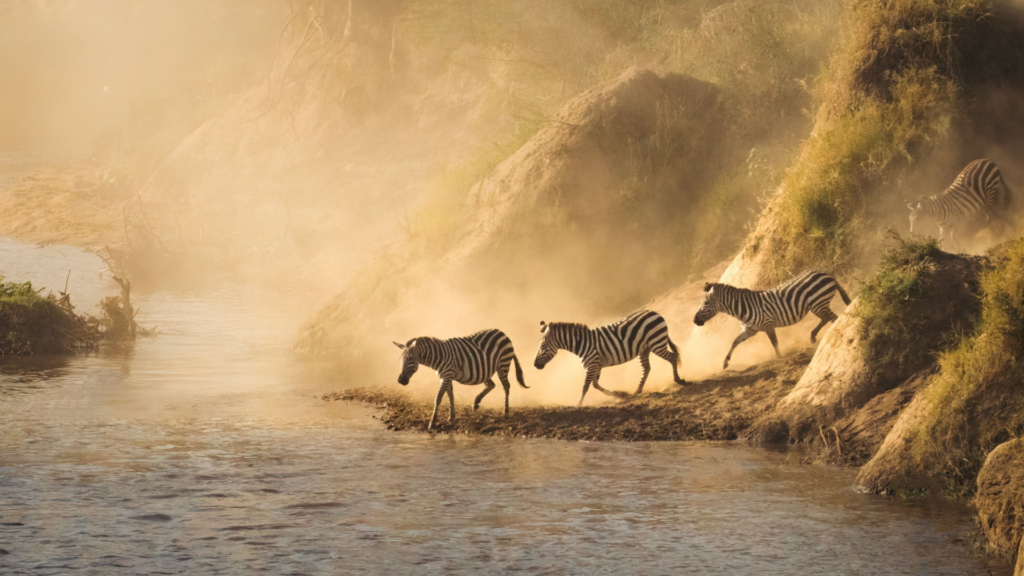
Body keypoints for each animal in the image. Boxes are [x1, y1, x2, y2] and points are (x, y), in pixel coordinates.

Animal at [393, 329, 527, 430]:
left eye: (410, 359)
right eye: (400, 359)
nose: (400, 380)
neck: (438, 357)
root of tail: (502, 333)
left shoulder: (446, 375)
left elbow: (438, 398)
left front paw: (432, 422)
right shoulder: (446, 376)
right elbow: (450, 395)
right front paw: (451, 416)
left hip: (503, 365)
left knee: (506, 386)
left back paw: (505, 412)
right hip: (485, 371)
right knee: (491, 385)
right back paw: (476, 403)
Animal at [533, 310, 686, 408]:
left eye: (543, 347)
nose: (535, 365)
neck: (582, 344)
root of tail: (654, 312)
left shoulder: (591, 364)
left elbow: (585, 386)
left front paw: (578, 404)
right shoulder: (596, 365)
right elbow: (595, 385)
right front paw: (619, 394)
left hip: (657, 343)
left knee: (672, 357)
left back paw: (678, 380)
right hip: (645, 349)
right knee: (646, 368)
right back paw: (637, 390)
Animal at [693, 270, 851, 370]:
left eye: (705, 303)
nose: (695, 320)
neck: (744, 308)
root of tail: (826, 274)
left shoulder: (768, 325)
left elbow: (774, 342)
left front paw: (779, 357)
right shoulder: (750, 330)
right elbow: (735, 342)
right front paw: (725, 362)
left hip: (818, 303)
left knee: (833, 318)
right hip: (818, 305)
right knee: (828, 318)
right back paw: (813, 337)